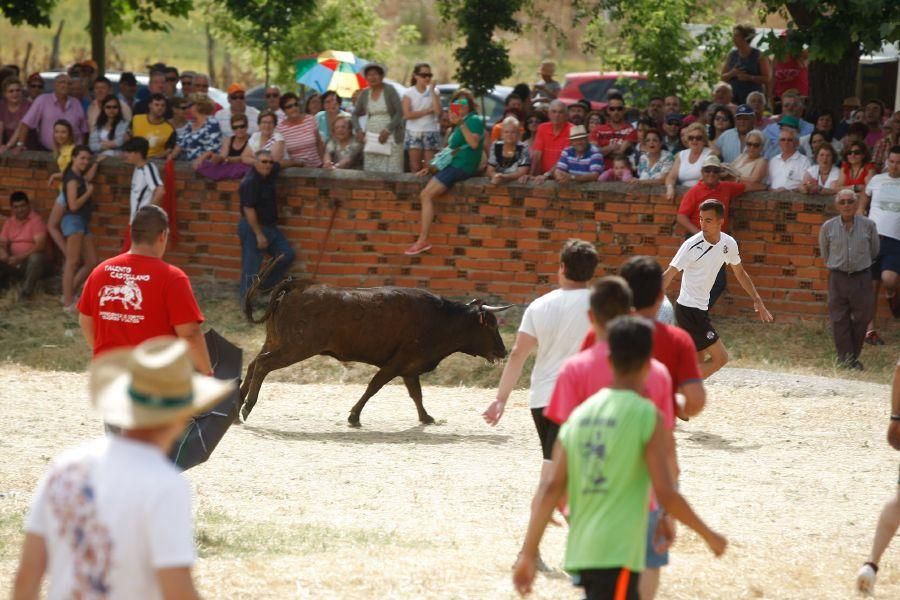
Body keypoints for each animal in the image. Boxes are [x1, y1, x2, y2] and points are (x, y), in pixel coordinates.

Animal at [239, 268, 510, 426]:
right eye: (490, 325)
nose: (504, 351)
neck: (442, 319)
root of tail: (297, 286)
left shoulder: (409, 367)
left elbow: (416, 394)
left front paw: (426, 418)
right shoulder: (399, 362)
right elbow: (375, 386)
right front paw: (354, 417)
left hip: (275, 341)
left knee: (253, 364)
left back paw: (236, 407)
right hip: (296, 347)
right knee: (262, 364)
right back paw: (247, 408)